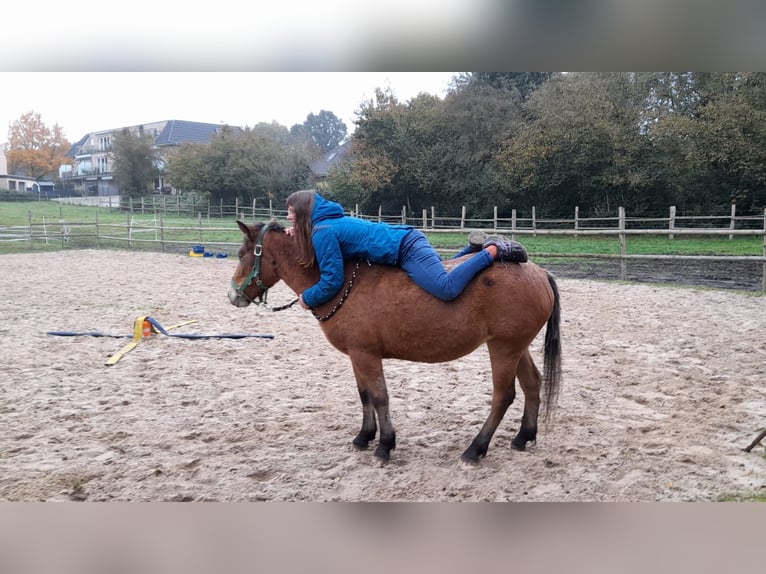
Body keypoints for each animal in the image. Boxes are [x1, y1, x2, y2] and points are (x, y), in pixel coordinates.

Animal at [228, 218, 564, 466]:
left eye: (243, 254)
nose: (233, 296)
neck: (343, 282)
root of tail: (539, 272)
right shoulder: (357, 355)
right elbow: (364, 395)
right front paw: (364, 437)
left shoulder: (366, 355)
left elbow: (379, 397)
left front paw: (385, 445)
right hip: (515, 347)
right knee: (532, 384)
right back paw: (523, 437)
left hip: (504, 348)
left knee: (503, 396)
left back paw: (475, 449)